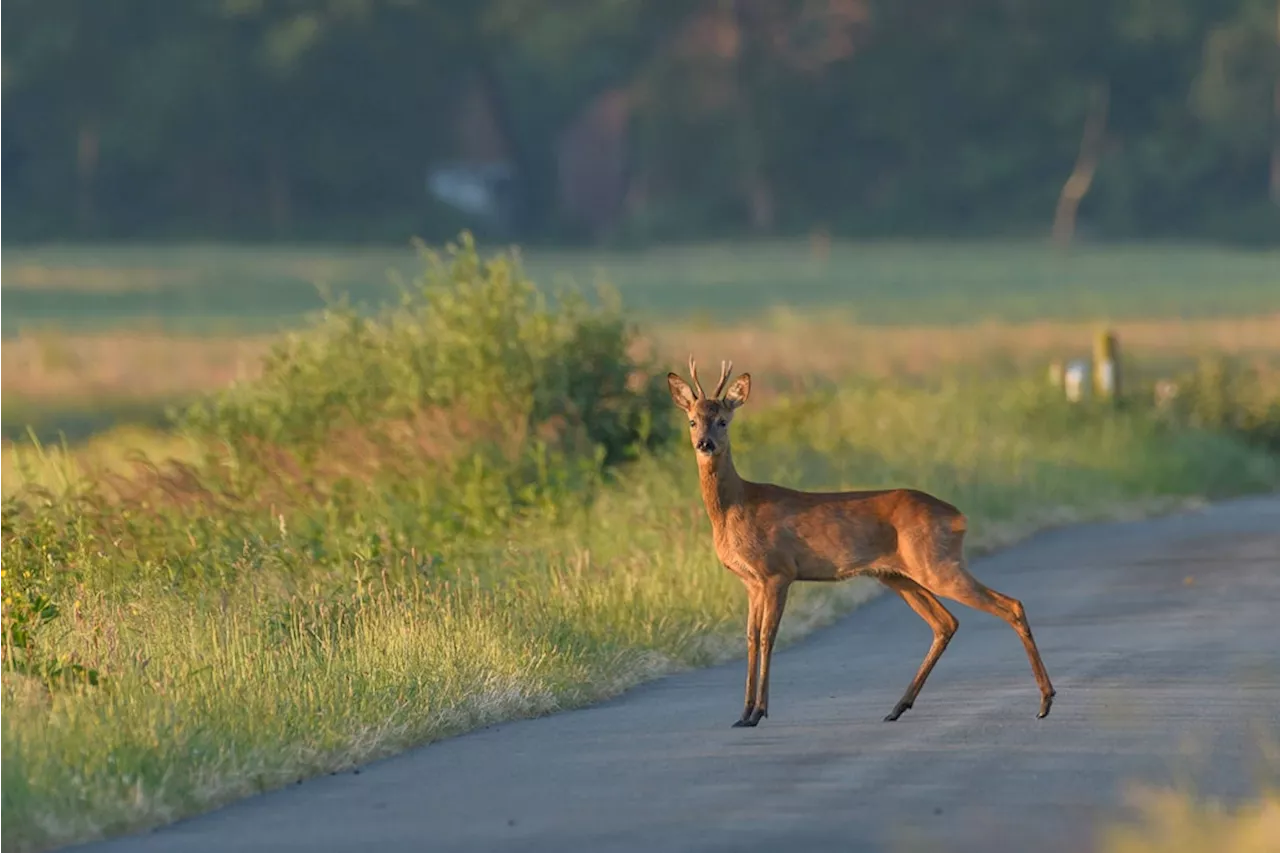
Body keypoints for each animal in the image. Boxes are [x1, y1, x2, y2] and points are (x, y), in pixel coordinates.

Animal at [665, 353, 1054, 722]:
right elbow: (749, 638)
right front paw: (744, 713)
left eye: (723, 420)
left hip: (938, 564)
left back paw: (1045, 701)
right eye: (692, 420)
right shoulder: (751, 581)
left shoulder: (777, 572)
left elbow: (766, 637)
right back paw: (898, 706)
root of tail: (958, 516)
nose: (705, 444)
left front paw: (758, 712)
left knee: (1009, 605)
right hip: (898, 575)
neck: (736, 506)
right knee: (946, 623)